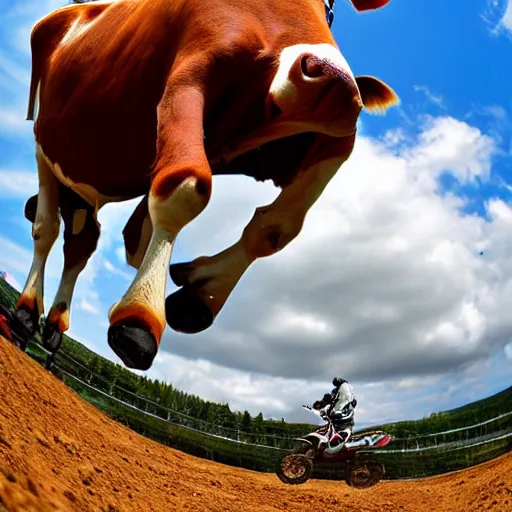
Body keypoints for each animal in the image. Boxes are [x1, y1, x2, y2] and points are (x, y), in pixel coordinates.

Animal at [2, 0, 398, 370]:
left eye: (331, 8)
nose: (332, 80)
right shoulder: (189, 78)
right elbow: (186, 187)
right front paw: (141, 315)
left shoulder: (328, 136)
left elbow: (277, 227)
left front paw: (201, 293)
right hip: (45, 146)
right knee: (47, 229)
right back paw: (26, 311)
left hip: (82, 178)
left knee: (81, 242)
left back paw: (55, 322)